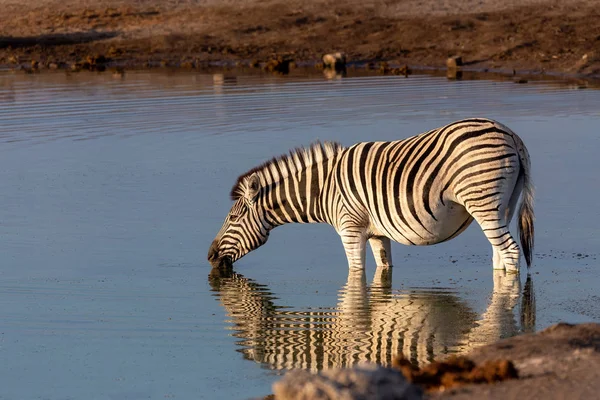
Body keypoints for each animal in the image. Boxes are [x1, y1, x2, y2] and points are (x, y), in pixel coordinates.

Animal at [210, 118, 536, 272]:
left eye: (232, 219)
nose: (210, 256)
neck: (324, 190)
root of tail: (511, 134)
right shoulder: (378, 233)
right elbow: (384, 270)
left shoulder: (350, 230)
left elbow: (355, 274)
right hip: (503, 207)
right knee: (499, 254)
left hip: (483, 203)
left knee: (510, 252)